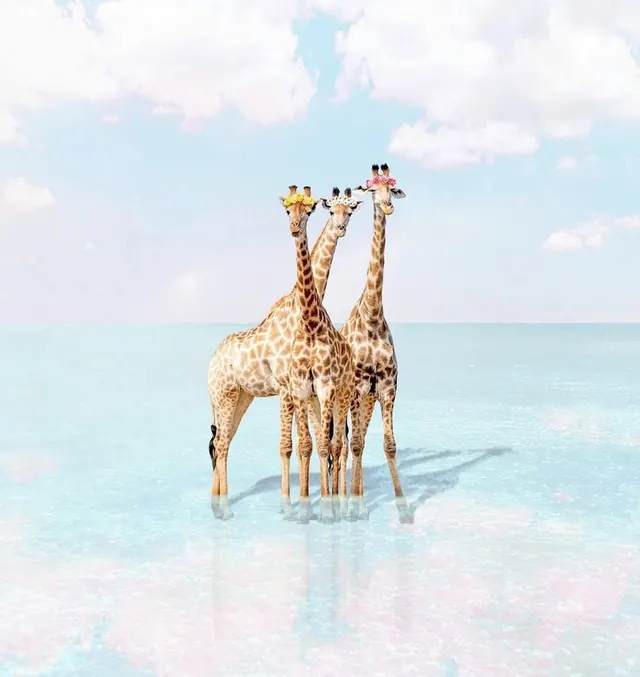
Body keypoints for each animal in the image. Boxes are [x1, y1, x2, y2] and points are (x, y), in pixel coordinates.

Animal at [207, 185, 362, 521]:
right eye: (331, 211)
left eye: (350, 211)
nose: (340, 229)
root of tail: (211, 361)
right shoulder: (286, 386)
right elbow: (288, 445)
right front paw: (289, 504)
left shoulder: (302, 389)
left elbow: (309, 442)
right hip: (225, 395)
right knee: (221, 443)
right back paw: (224, 507)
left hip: (241, 396)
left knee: (222, 440)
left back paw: (215, 500)